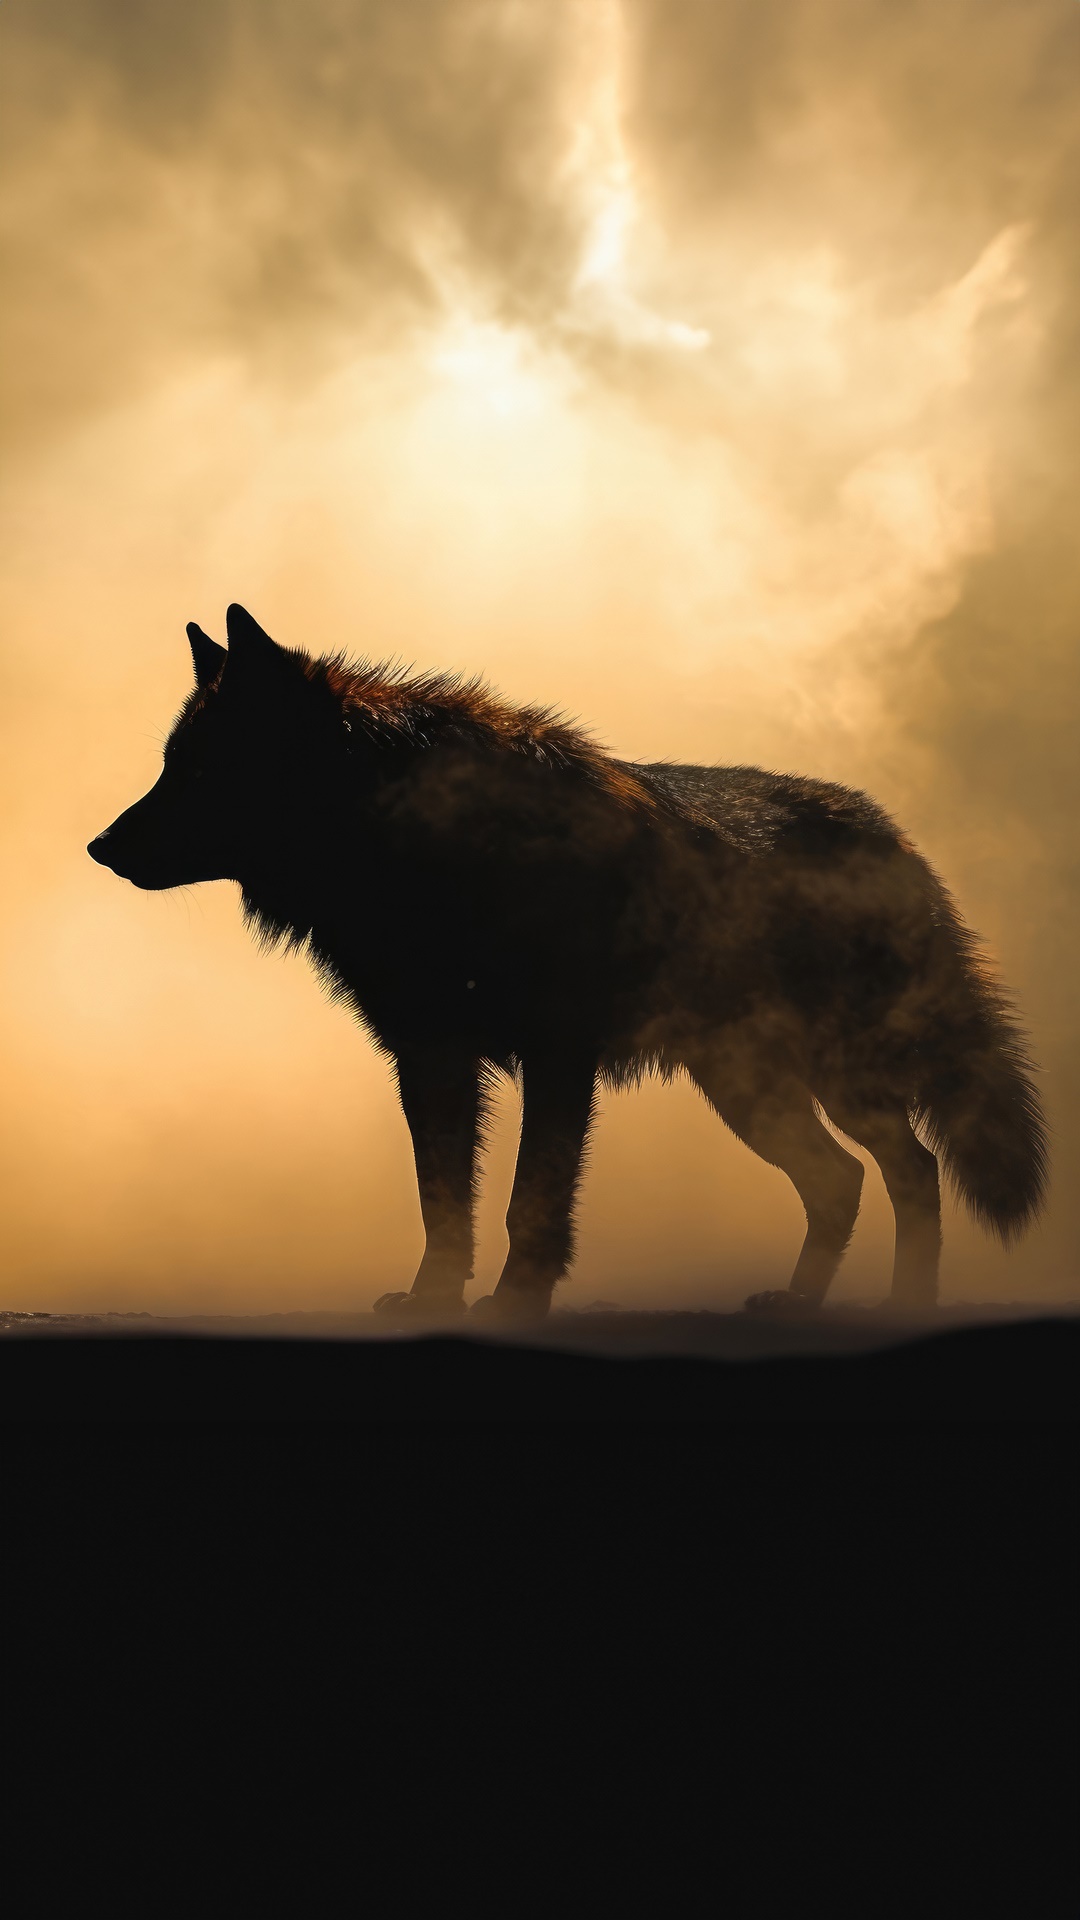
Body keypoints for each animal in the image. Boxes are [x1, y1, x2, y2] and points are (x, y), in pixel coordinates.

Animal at [88, 604, 1047, 1323]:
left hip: (829, 1076)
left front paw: (517, 1301)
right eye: (171, 766)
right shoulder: (431, 1056)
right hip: (749, 1088)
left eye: (199, 770)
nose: (99, 847)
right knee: (844, 1179)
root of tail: (893, 837)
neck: (425, 844)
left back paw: (905, 1306)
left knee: (910, 1169)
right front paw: (434, 1298)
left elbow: (531, 1201)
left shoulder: (557, 1055)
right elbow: (442, 1199)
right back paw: (800, 1303)